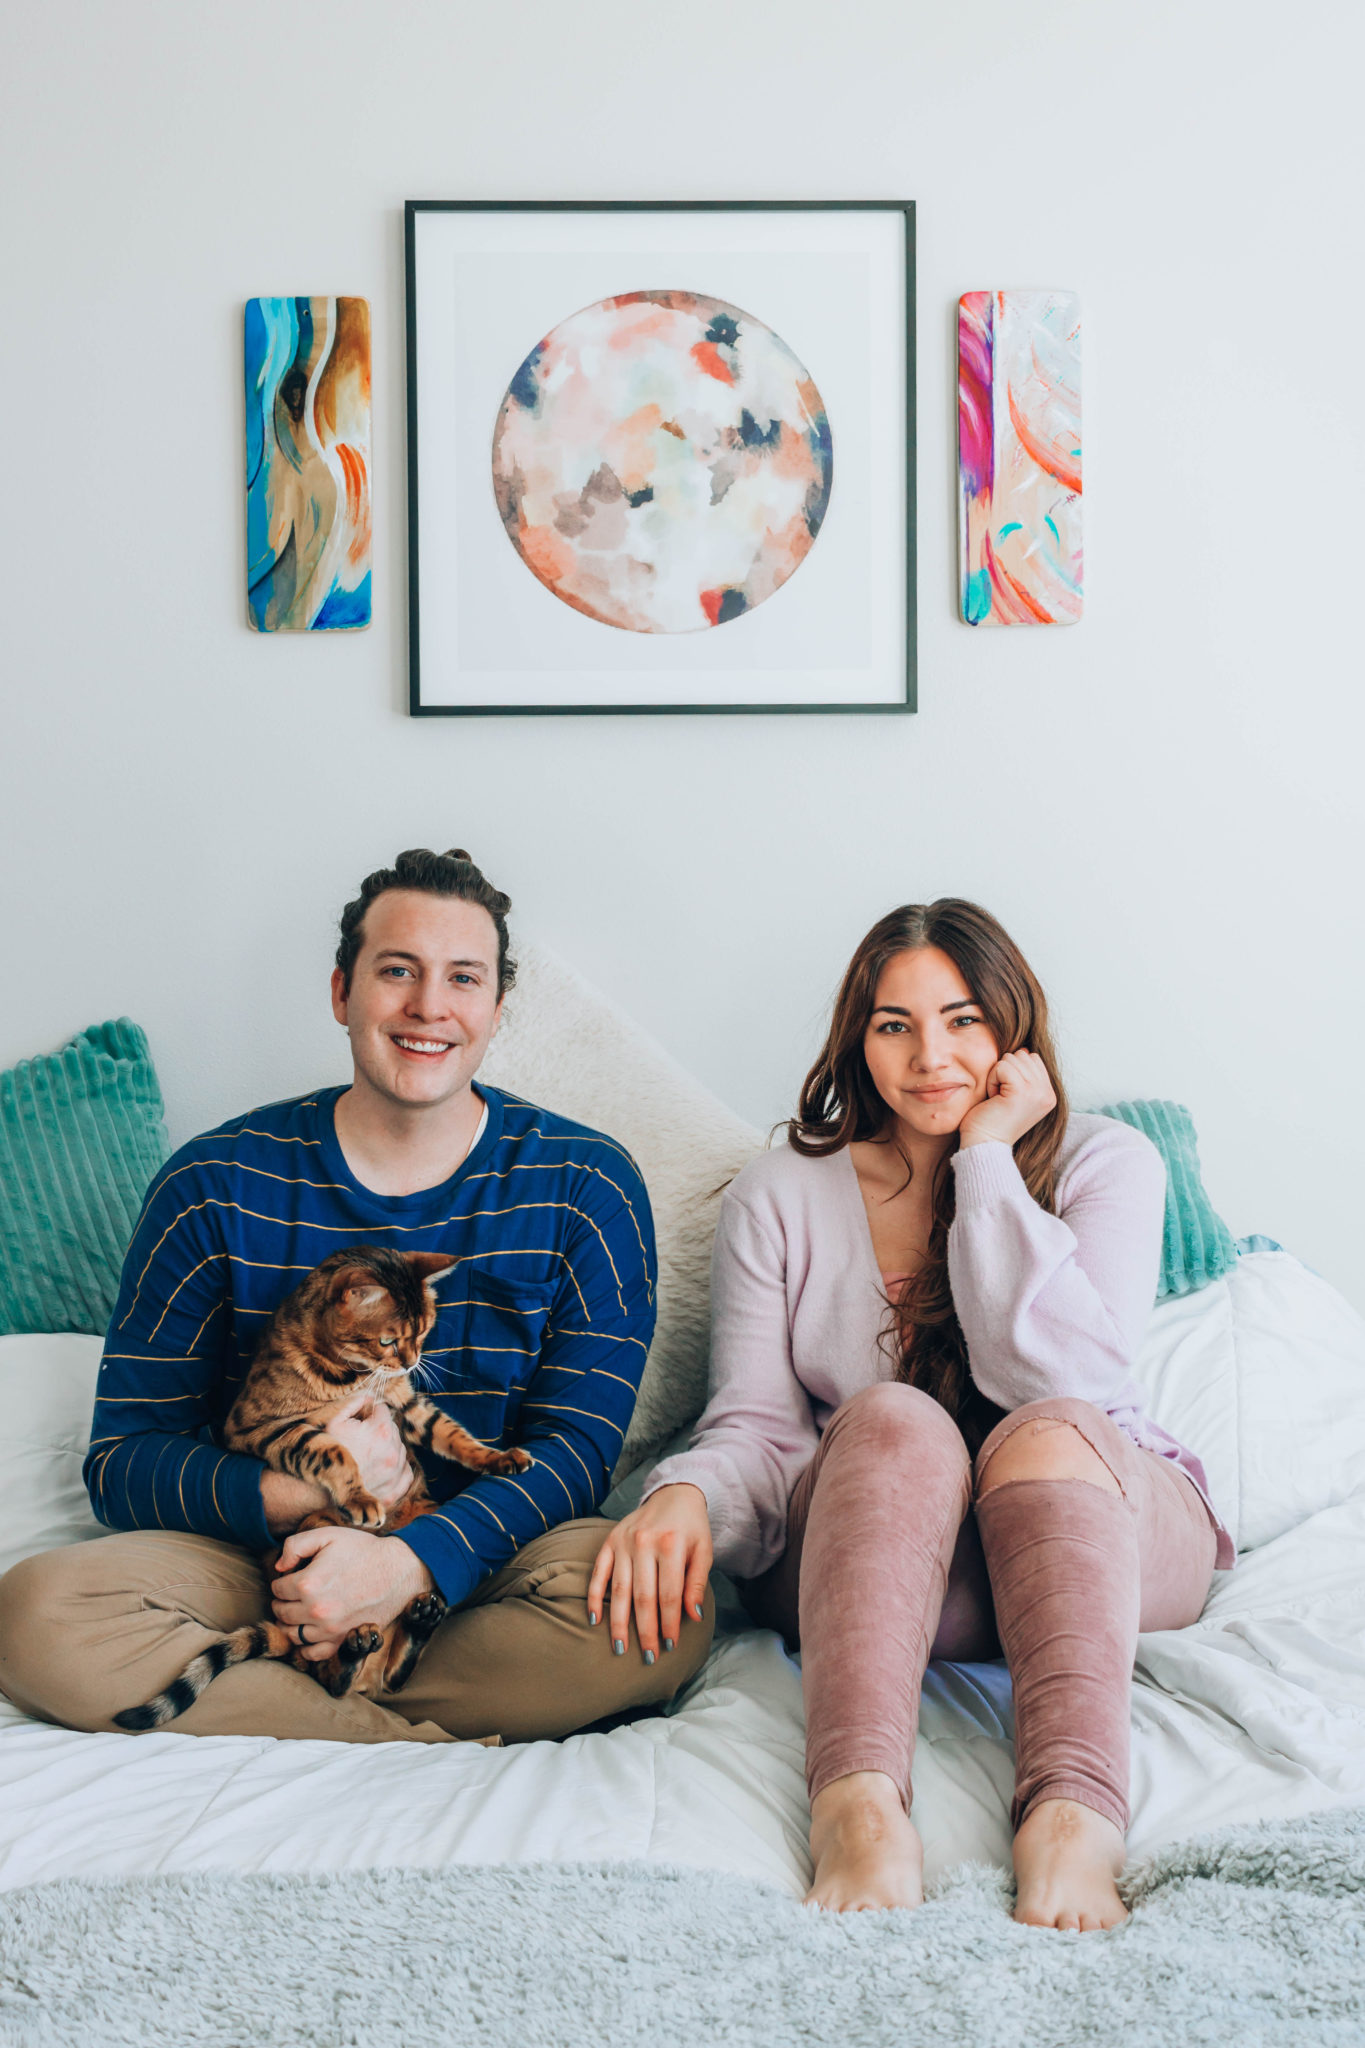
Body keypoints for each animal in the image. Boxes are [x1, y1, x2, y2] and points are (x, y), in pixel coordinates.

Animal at [114, 1245, 532, 1728]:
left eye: (424, 1332)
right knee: (329, 1679)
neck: (354, 1374)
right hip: (303, 1541)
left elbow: (453, 1435)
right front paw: (362, 1496)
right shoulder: (262, 1428)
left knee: (390, 1675)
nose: (411, 1362)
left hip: (425, 1518)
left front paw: (497, 1457)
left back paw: (417, 1623)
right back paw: (354, 1649)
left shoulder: (406, 1403)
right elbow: (332, 1450)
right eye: (388, 1341)